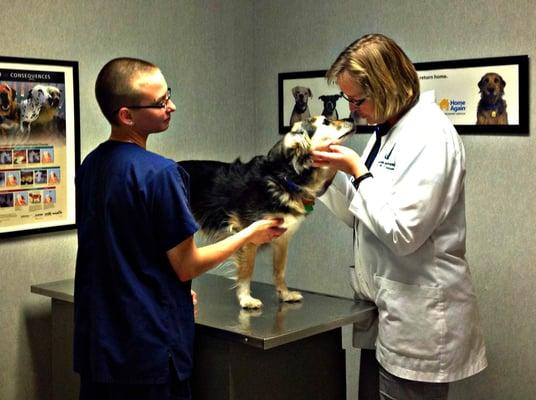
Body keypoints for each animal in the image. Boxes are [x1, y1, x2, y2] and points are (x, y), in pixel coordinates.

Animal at [178, 115, 354, 310]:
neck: (284, 179)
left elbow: (280, 270)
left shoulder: (282, 238)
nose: (352, 118)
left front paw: (284, 294)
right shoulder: (248, 235)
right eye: (326, 122)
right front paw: (246, 298)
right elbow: (247, 270)